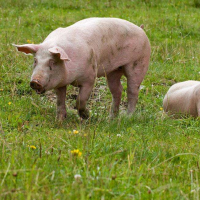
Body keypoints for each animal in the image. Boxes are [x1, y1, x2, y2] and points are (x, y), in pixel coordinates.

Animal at [14, 17, 151, 120]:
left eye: (52, 62)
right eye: (35, 61)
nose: (35, 81)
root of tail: (140, 28)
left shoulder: (90, 77)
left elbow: (80, 99)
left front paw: (86, 116)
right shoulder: (60, 82)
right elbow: (60, 101)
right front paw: (60, 120)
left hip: (139, 64)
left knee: (132, 91)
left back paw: (127, 117)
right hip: (113, 71)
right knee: (117, 90)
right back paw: (111, 118)